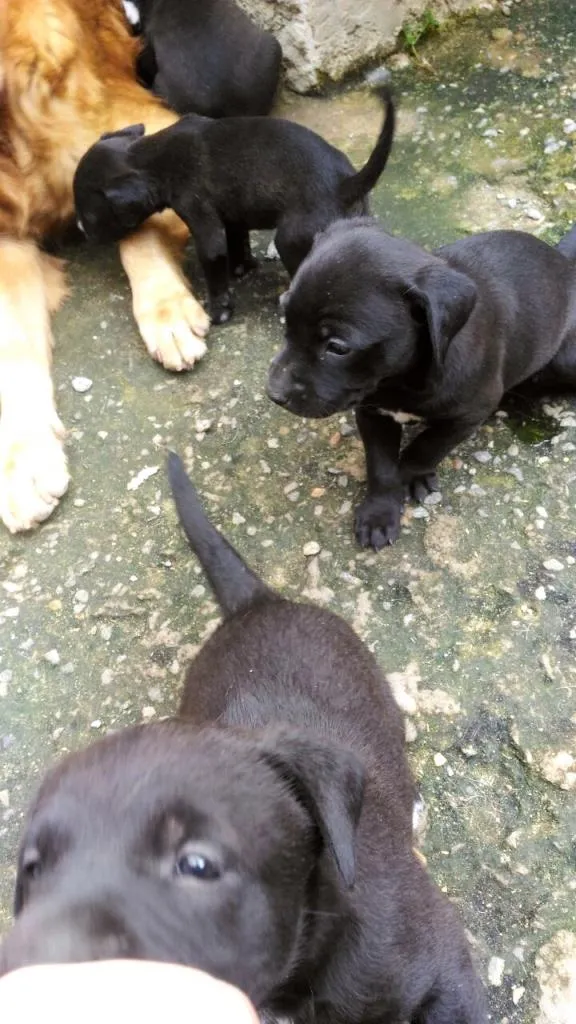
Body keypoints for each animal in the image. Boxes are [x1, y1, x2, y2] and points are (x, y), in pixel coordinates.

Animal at [72, 81, 393, 325]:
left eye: (90, 216)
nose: (80, 231)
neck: (150, 158)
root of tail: (345, 183)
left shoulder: (204, 222)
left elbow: (214, 265)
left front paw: (219, 310)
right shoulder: (235, 214)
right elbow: (239, 240)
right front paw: (242, 267)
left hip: (291, 238)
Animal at [266, 218, 573, 552]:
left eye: (337, 347)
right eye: (284, 316)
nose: (274, 393)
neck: (400, 381)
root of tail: (562, 260)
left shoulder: (467, 416)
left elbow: (424, 449)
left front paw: (412, 476)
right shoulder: (372, 412)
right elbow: (381, 466)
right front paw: (380, 512)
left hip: (564, 360)